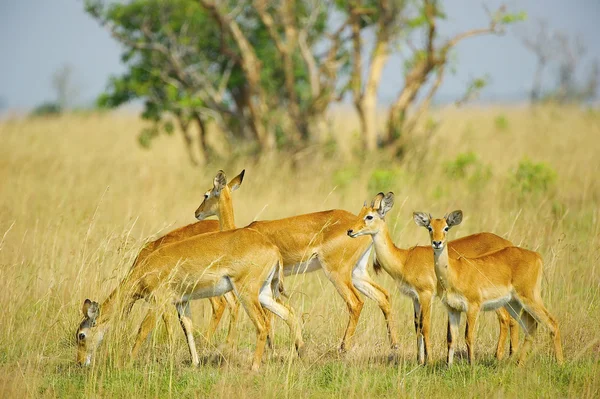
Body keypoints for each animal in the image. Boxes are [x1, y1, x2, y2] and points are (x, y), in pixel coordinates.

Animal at [76, 180, 304, 370]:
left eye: (81, 335)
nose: (80, 362)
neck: (146, 266)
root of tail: (271, 247)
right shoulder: (181, 302)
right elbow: (188, 329)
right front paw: (195, 362)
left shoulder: (158, 302)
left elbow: (143, 330)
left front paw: (127, 362)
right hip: (264, 293)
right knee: (289, 314)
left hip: (246, 293)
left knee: (262, 324)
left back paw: (254, 367)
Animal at [346, 193, 520, 366]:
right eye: (360, 213)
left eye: (369, 216)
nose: (350, 231)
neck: (404, 259)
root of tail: (509, 244)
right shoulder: (415, 297)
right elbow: (417, 326)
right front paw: (419, 360)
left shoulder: (426, 294)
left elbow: (426, 326)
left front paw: (428, 361)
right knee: (513, 319)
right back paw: (511, 356)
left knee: (505, 319)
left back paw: (498, 357)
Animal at [414, 211, 564, 368]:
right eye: (430, 227)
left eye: (446, 227)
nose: (437, 243)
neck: (454, 272)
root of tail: (536, 255)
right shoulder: (453, 309)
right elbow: (452, 337)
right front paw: (449, 367)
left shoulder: (473, 307)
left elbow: (468, 336)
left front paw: (472, 365)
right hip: (514, 304)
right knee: (530, 327)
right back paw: (519, 365)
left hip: (529, 298)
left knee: (552, 323)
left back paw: (560, 364)